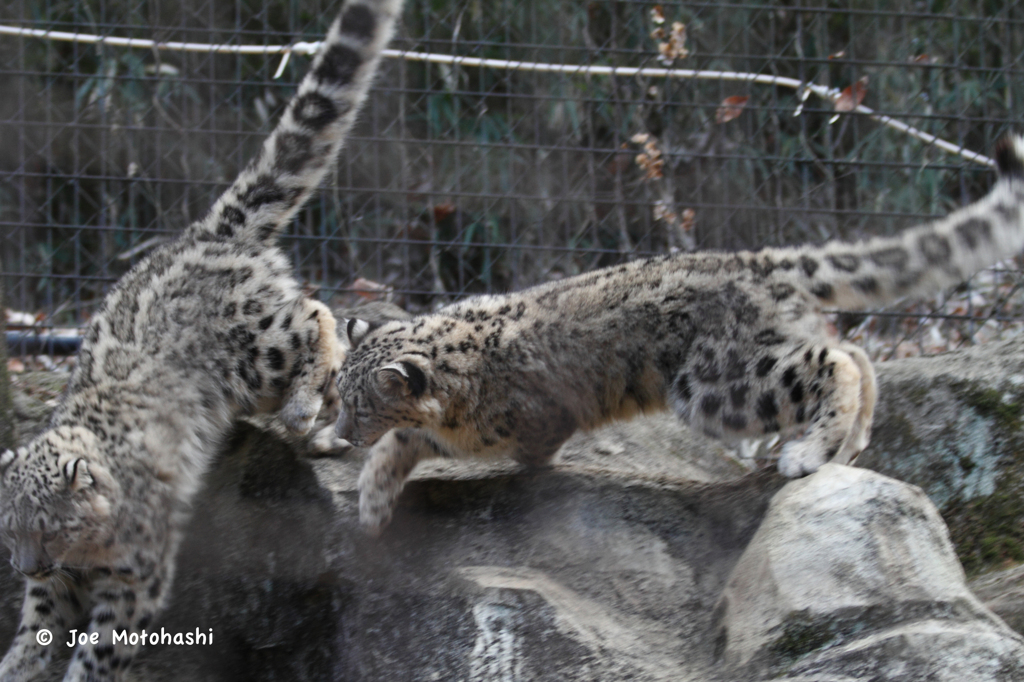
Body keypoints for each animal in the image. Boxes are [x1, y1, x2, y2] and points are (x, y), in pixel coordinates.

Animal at [0, 0, 403, 675]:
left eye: (52, 527)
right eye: (10, 527)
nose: (28, 566)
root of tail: (208, 233)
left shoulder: (134, 578)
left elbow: (100, 651)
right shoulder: (57, 588)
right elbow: (37, 627)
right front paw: (17, 662)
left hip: (256, 351)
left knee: (316, 314)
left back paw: (303, 410)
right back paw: (324, 429)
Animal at [335, 134, 1024, 536]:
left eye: (359, 404)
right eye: (338, 395)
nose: (340, 433)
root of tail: (756, 261)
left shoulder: (512, 424)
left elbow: (445, 439)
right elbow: (405, 440)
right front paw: (372, 503)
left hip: (720, 382)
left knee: (837, 361)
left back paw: (808, 453)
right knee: (855, 350)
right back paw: (850, 444)